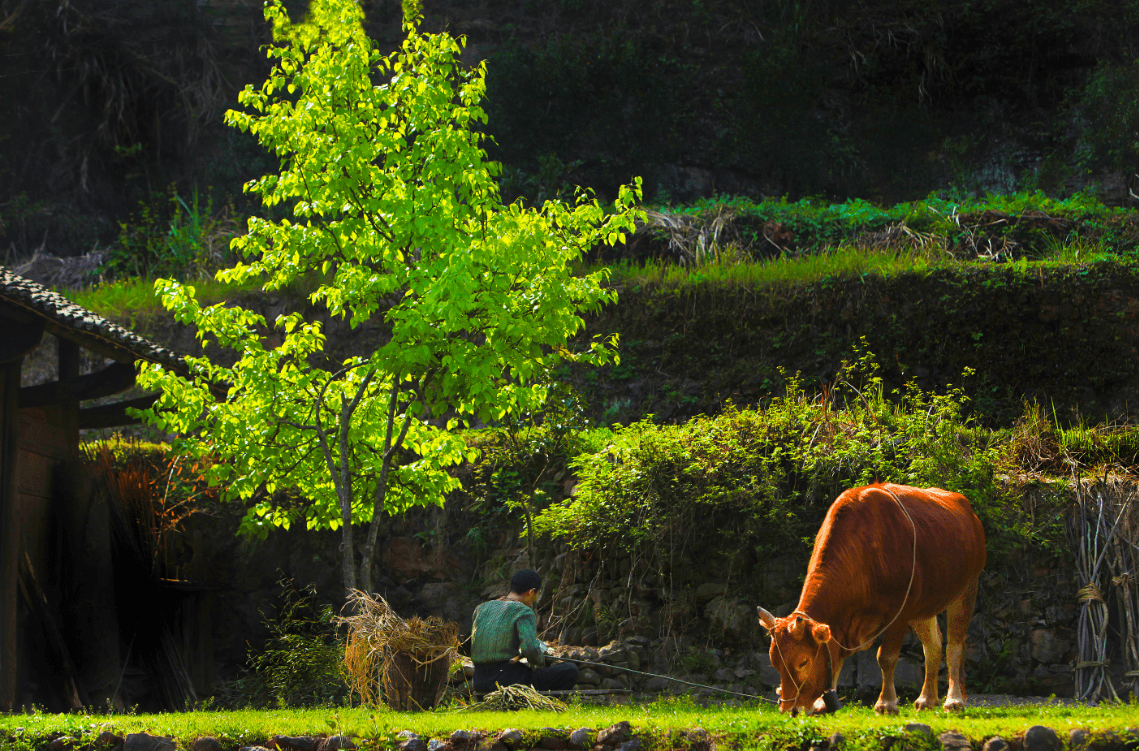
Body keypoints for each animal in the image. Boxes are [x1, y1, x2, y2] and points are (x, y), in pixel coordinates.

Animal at [756, 480, 979, 715]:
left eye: (803, 662)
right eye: (774, 663)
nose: (791, 709)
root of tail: (966, 508)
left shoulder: (900, 613)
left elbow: (886, 657)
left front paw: (886, 703)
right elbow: (835, 660)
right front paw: (822, 704)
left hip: (967, 589)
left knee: (953, 646)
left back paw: (954, 700)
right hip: (924, 606)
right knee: (933, 647)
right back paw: (927, 699)